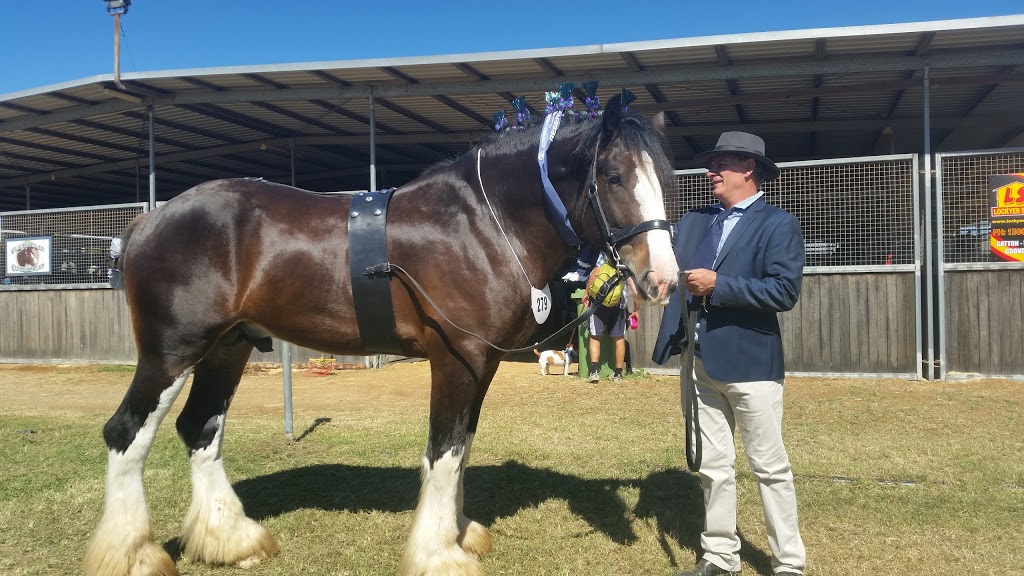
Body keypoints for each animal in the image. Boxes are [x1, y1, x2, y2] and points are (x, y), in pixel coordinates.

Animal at [83, 94, 675, 573]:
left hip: (227, 347)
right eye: (614, 176)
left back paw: (232, 541)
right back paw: (133, 556)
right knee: (126, 434)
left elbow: (463, 446)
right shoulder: (456, 358)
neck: (481, 224)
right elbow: (444, 453)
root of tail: (144, 224)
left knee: (200, 430)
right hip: (172, 352)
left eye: (666, 179)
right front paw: (439, 555)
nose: (663, 279)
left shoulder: (481, 364)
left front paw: (460, 534)